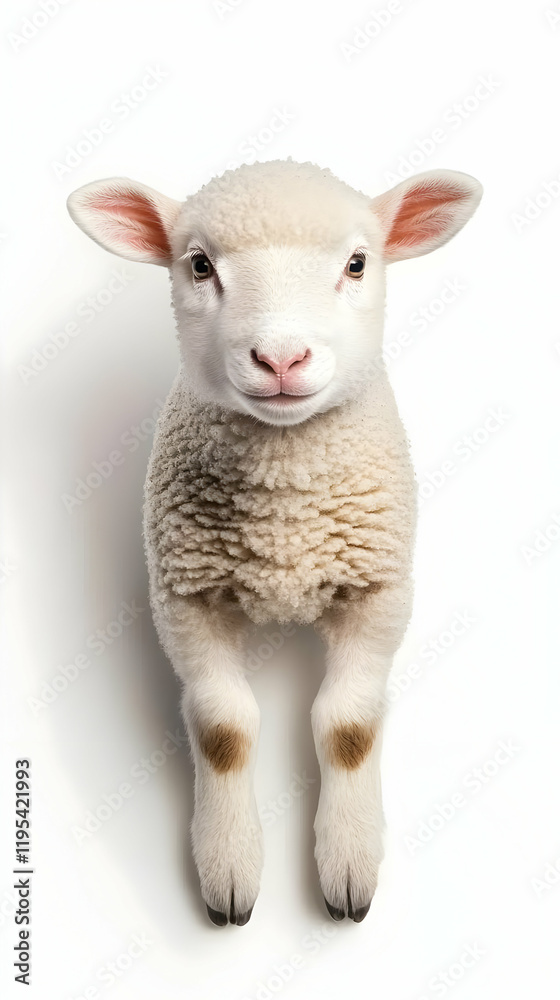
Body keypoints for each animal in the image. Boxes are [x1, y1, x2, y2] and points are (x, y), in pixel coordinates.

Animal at [67, 158, 482, 926]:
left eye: (357, 263)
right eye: (199, 265)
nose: (281, 357)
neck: (284, 507)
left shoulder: (380, 591)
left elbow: (347, 726)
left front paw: (349, 865)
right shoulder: (185, 596)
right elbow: (223, 728)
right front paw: (228, 871)